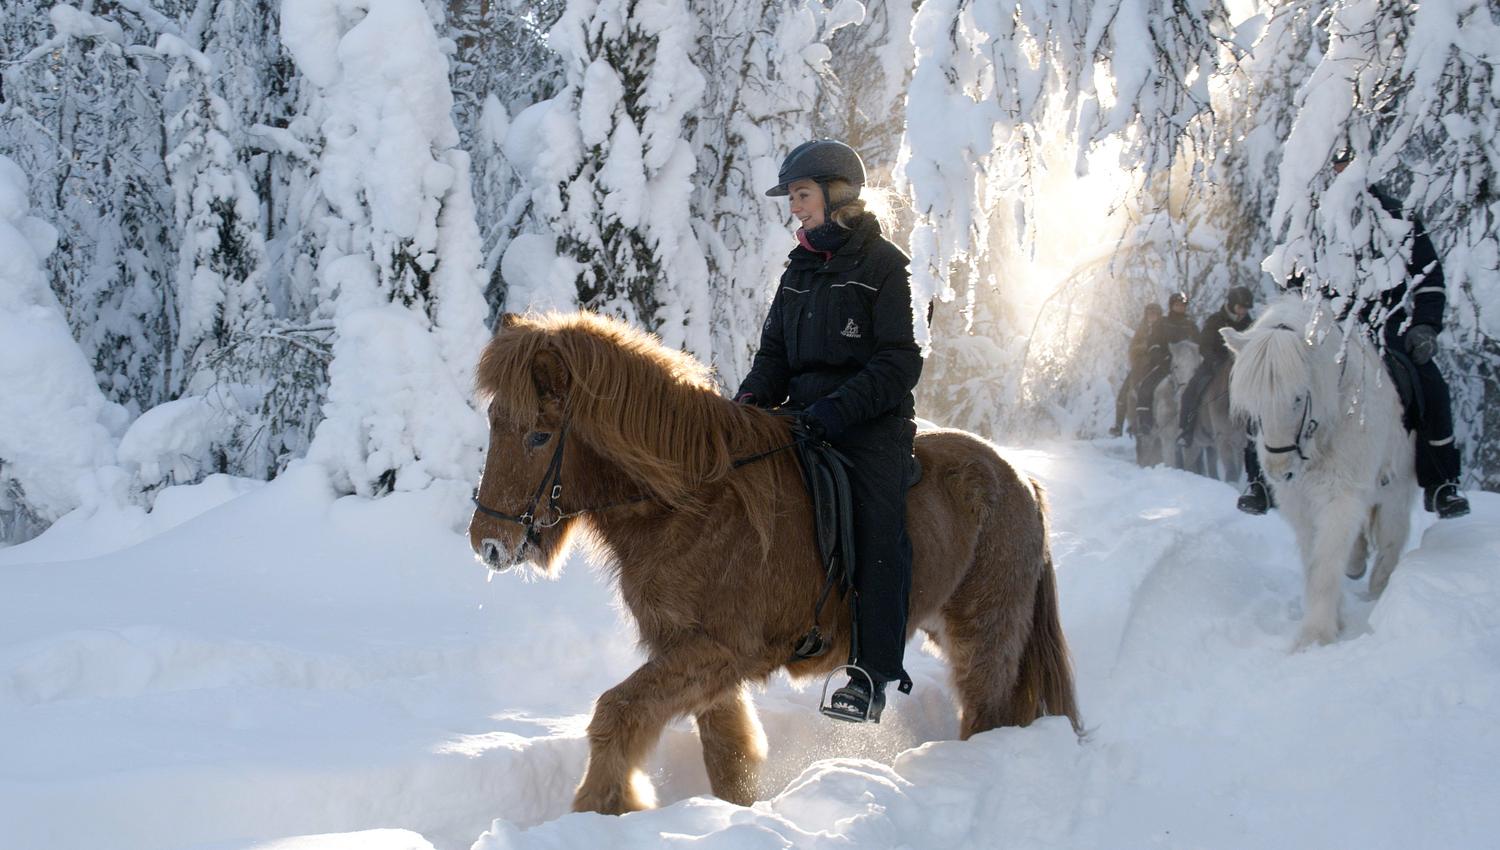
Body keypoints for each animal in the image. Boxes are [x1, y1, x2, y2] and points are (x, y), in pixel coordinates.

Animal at [468, 311, 1081, 815]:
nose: (487, 544)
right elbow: (728, 755)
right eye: (494, 421)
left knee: (986, 712)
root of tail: (1021, 480)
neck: (694, 505)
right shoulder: (692, 655)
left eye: (539, 435)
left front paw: (606, 807)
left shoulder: (720, 650)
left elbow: (617, 713)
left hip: (985, 636)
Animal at [1222, 294, 1416, 649]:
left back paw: (1379, 590)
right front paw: (1331, 621)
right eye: (1254, 404)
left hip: (1395, 494)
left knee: (1390, 542)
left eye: (1298, 397)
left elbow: (1327, 562)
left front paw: (1315, 636)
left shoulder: (1341, 497)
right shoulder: (1299, 502)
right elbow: (1314, 561)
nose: (1279, 471)